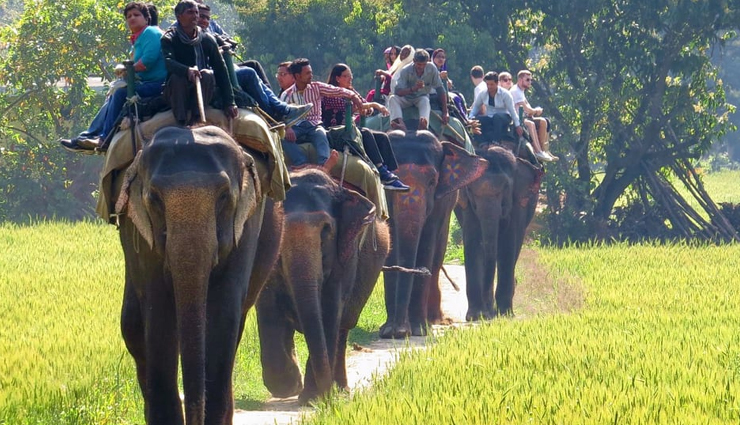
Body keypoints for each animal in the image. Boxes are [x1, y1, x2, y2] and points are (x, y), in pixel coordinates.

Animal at [115, 125, 284, 424]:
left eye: (224, 197)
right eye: (153, 199)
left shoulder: (247, 223)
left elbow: (223, 311)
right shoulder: (138, 230)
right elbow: (158, 310)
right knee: (133, 326)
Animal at [256, 167, 390, 402]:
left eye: (326, 231)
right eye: (279, 230)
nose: (327, 397)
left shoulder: (347, 254)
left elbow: (330, 307)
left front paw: (312, 399)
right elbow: (268, 305)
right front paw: (289, 387)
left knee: (343, 327)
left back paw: (341, 389)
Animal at [378, 131, 488, 340]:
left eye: (432, 182)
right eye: (388, 181)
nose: (400, 331)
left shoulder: (440, 203)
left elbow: (427, 241)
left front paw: (417, 330)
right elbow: (390, 244)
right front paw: (388, 331)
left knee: (436, 260)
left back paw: (434, 321)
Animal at [454, 142, 548, 318]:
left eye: (506, 188)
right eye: (470, 191)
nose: (487, 313)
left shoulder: (518, 199)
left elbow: (508, 242)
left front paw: (504, 314)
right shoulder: (466, 204)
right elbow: (473, 239)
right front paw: (475, 315)